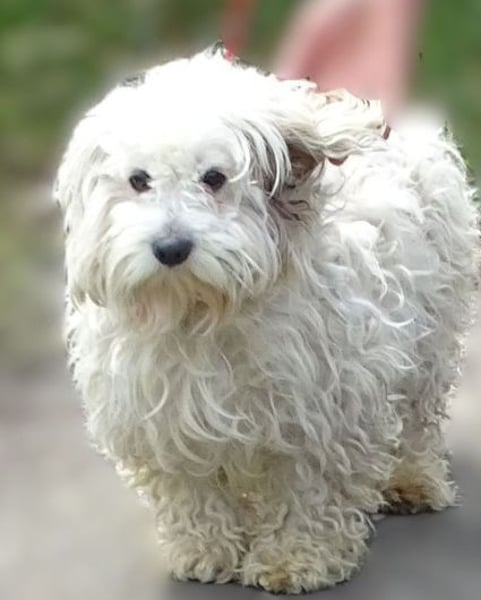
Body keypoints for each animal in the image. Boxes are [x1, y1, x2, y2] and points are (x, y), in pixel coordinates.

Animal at [55, 45, 479, 593]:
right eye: (139, 180)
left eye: (214, 177)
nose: (171, 248)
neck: (203, 309)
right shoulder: (165, 415)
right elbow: (191, 489)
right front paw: (205, 548)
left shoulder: (320, 411)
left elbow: (307, 491)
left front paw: (294, 559)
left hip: (432, 338)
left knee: (418, 418)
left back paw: (414, 479)